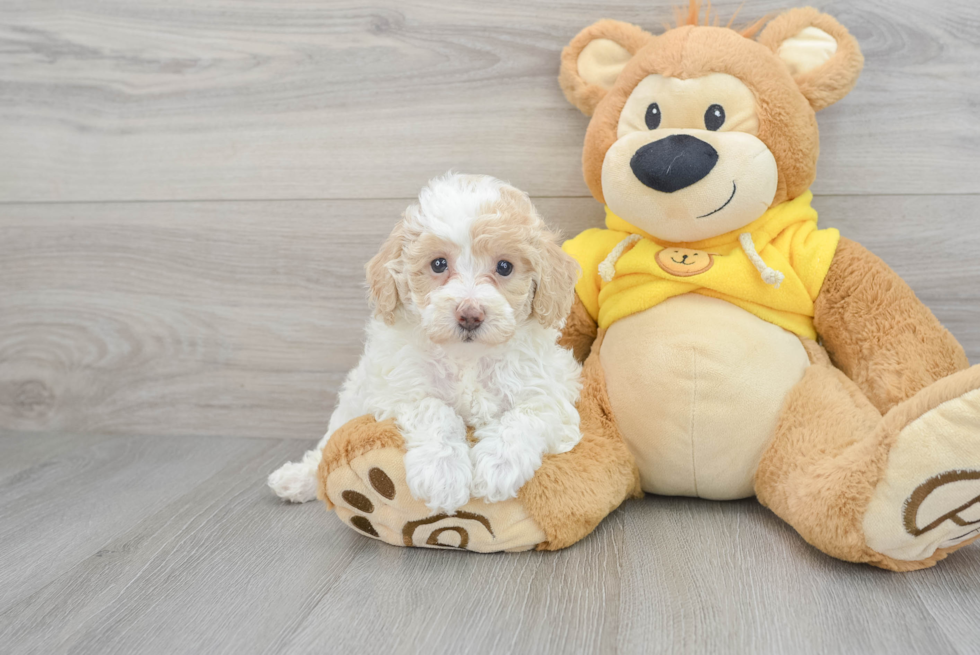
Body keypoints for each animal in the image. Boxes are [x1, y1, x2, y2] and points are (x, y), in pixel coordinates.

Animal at [268, 174, 580, 512]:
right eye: (439, 264)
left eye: (505, 267)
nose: (470, 315)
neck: (467, 358)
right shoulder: (398, 389)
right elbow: (433, 409)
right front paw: (443, 473)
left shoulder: (549, 390)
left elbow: (526, 416)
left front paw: (498, 465)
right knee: (325, 447)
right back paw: (296, 479)